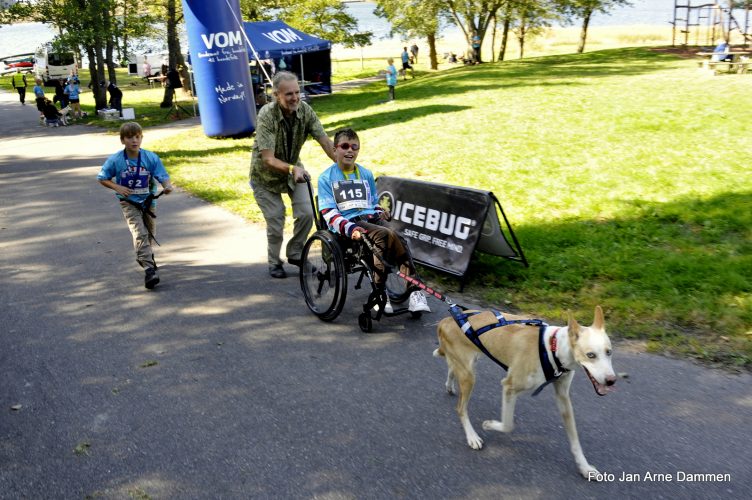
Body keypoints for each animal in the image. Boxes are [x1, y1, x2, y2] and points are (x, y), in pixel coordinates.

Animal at [434, 304, 616, 476]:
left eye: (609, 352)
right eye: (591, 355)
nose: (611, 380)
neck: (553, 348)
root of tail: (446, 320)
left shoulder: (563, 397)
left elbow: (575, 441)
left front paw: (585, 467)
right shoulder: (509, 386)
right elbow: (508, 425)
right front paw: (489, 425)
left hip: (468, 366)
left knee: (452, 368)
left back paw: (449, 385)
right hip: (469, 377)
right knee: (460, 408)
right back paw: (472, 437)